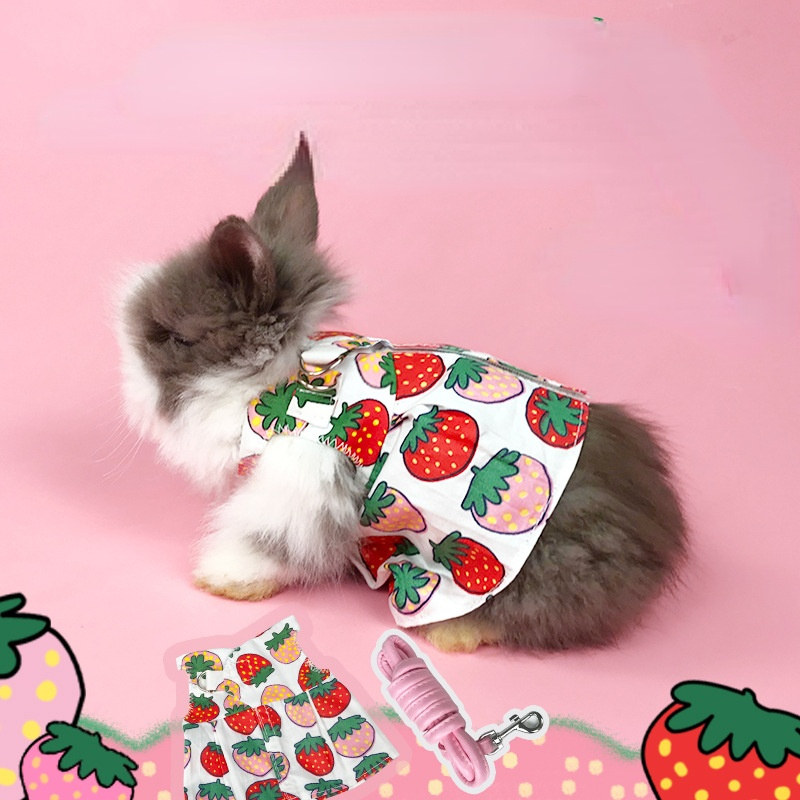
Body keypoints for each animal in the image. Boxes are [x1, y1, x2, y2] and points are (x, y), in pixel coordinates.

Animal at [116, 136, 688, 653]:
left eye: (176, 338)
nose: (131, 383)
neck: (279, 384)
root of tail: (660, 536)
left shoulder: (298, 487)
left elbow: (265, 541)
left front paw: (220, 579)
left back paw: (451, 634)